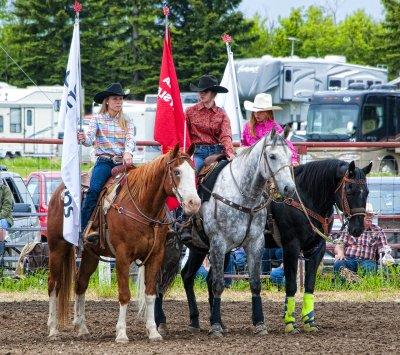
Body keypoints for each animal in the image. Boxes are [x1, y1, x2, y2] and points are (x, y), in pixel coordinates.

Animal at [47, 145, 200, 342]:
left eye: (194, 172)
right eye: (177, 171)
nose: (194, 203)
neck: (142, 206)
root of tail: (59, 190)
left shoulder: (156, 256)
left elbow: (150, 294)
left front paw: (153, 332)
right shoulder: (122, 257)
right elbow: (124, 295)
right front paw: (121, 333)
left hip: (90, 254)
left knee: (80, 283)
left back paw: (82, 328)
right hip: (57, 247)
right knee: (54, 284)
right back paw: (53, 330)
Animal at [155, 159, 372, 336]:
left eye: (367, 192)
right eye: (349, 189)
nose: (358, 228)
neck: (303, 197)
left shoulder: (316, 249)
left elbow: (310, 285)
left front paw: (310, 322)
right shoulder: (291, 246)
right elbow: (291, 284)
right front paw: (290, 323)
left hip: (206, 248)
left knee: (192, 277)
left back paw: (204, 322)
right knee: (167, 279)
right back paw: (163, 322)